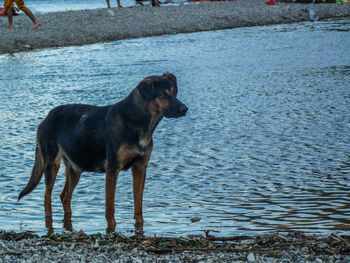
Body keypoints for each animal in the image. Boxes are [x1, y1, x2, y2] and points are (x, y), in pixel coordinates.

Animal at [18, 72, 189, 233]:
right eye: (163, 94)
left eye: (175, 92)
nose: (185, 109)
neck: (139, 121)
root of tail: (46, 118)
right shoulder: (112, 168)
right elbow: (110, 206)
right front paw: (111, 228)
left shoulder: (140, 168)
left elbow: (138, 205)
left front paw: (139, 227)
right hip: (51, 164)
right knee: (47, 198)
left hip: (75, 167)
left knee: (64, 196)